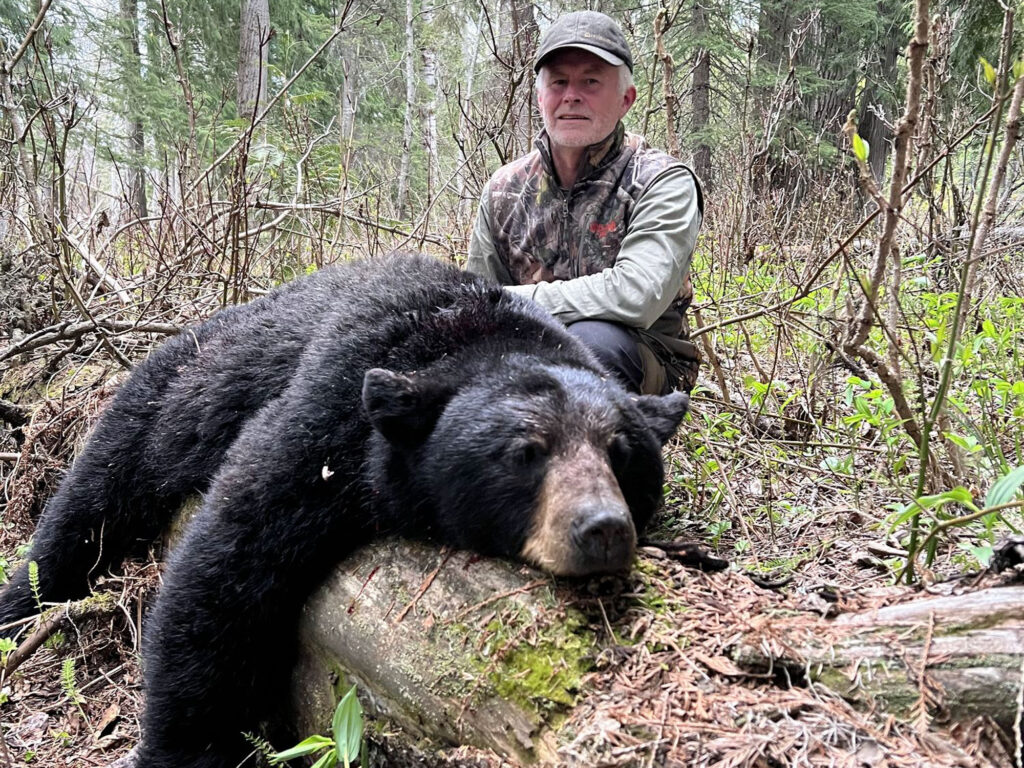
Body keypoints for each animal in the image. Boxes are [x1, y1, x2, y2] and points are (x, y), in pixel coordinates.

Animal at [0, 253, 690, 768]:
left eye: (623, 454)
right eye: (525, 452)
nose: (602, 528)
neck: (470, 339)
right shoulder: (330, 415)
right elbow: (227, 562)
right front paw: (185, 749)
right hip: (170, 392)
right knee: (93, 498)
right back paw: (20, 605)